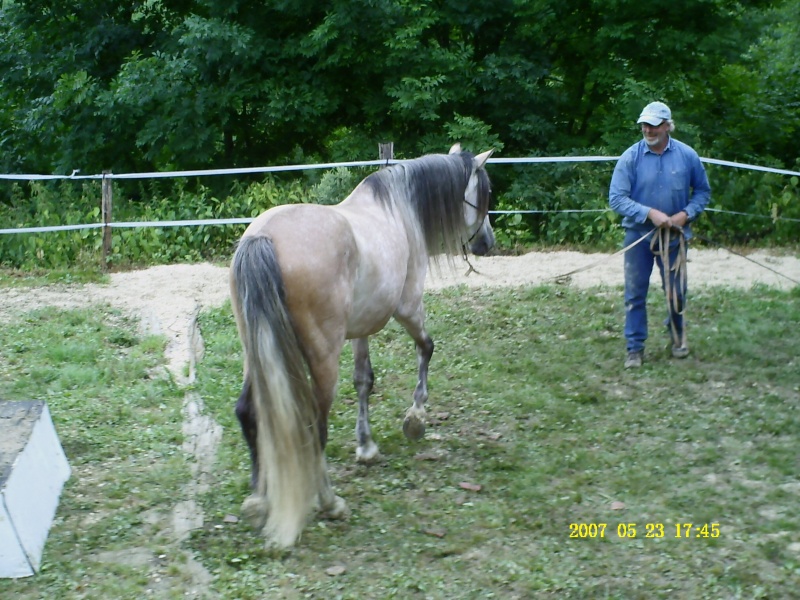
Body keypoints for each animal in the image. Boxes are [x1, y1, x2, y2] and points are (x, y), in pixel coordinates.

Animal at [228, 143, 494, 548]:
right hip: (322, 360)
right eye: (485, 193)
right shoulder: (407, 308)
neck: (398, 209)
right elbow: (427, 348)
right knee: (314, 425)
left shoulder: (362, 329)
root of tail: (264, 240)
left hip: (256, 353)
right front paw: (415, 418)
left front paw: (366, 446)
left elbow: (364, 381)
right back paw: (329, 502)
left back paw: (259, 499)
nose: (487, 242)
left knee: (248, 411)